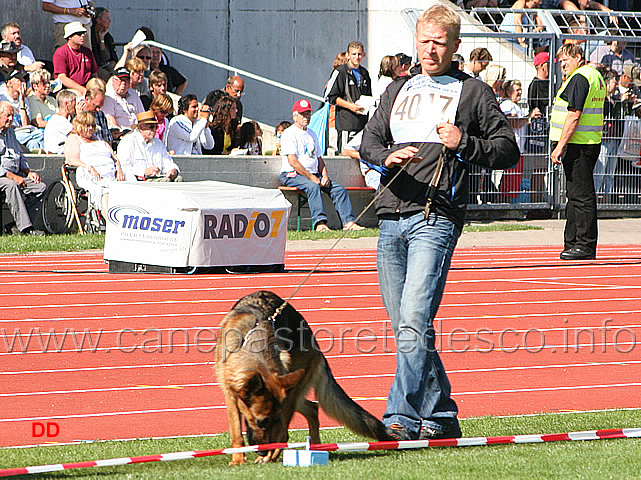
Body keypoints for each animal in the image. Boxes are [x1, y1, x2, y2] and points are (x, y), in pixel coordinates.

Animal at [215, 290, 388, 464]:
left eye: (273, 420)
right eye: (260, 421)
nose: (263, 452)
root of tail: (316, 345)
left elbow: (278, 431)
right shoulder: (231, 395)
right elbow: (236, 431)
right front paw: (238, 459)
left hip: (291, 393)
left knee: (286, 432)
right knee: (312, 407)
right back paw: (315, 447)